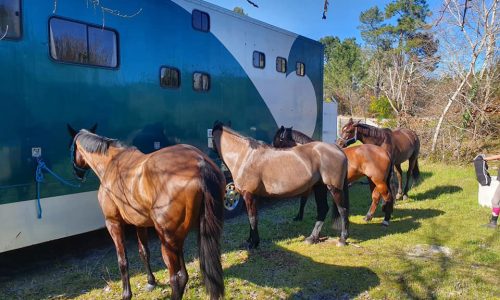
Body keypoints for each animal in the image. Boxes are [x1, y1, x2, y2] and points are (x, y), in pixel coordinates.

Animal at [67, 126, 225, 300]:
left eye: (71, 148)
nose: (76, 173)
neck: (111, 164)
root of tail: (200, 163)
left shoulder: (113, 223)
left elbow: (122, 260)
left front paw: (126, 294)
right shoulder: (140, 224)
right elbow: (144, 252)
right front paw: (151, 282)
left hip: (167, 239)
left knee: (176, 278)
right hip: (180, 236)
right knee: (185, 274)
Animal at [210, 120, 348, 247]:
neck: (244, 156)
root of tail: (337, 148)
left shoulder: (249, 195)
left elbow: (252, 218)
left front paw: (254, 243)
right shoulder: (252, 196)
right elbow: (252, 219)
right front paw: (251, 240)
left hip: (334, 189)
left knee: (342, 210)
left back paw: (342, 239)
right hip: (320, 187)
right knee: (323, 209)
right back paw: (312, 238)